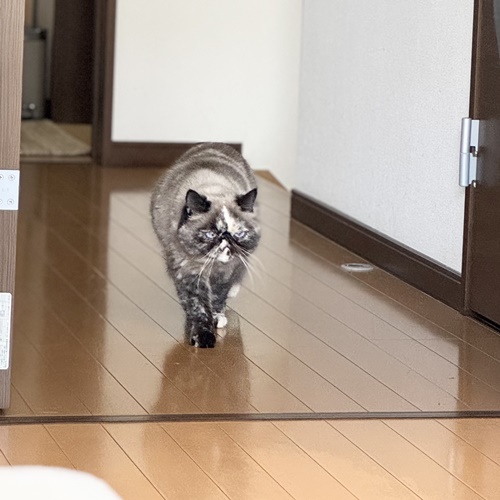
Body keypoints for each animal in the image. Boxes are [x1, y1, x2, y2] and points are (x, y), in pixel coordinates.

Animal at [150, 143, 260, 348]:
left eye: (238, 233)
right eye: (210, 234)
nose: (226, 241)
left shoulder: (227, 272)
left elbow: (218, 297)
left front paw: (217, 318)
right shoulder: (188, 274)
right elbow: (198, 307)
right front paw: (204, 337)